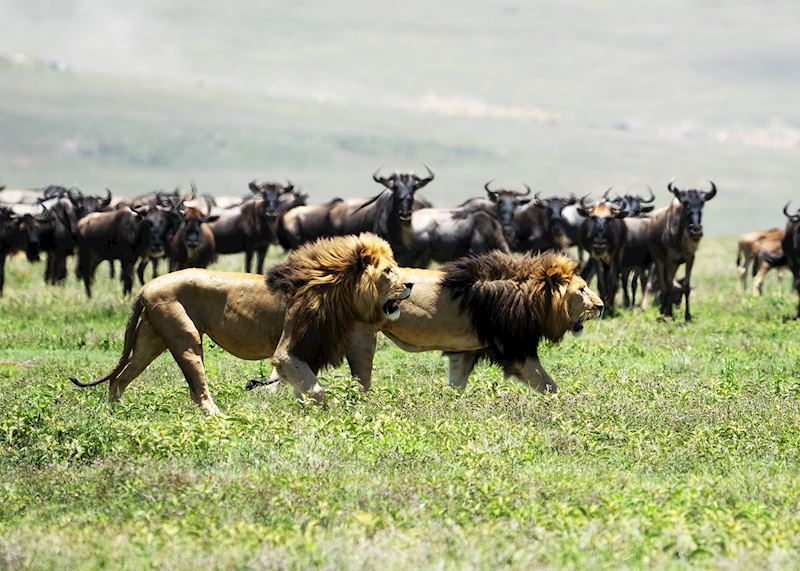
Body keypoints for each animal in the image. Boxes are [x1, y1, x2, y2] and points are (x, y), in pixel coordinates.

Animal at [69, 233, 412, 414]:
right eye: (388, 271)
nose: (410, 284)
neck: (335, 289)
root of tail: (146, 287)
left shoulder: (311, 349)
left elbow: (308, 388)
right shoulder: (287, 350)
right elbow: (316, 391)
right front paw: (329, 412)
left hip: (149, 341)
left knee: (119, 378)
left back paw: (115, 413)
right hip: (185, 338)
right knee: (197, 390)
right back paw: (217, 417)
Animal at [251, 251, 604, 393]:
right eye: (582, 289)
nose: (600, 306)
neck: (530, 295)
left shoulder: (467, 350)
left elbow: (457, 383)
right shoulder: (515, 349)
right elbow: (549, 384)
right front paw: (568, 404)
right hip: (362, 337)